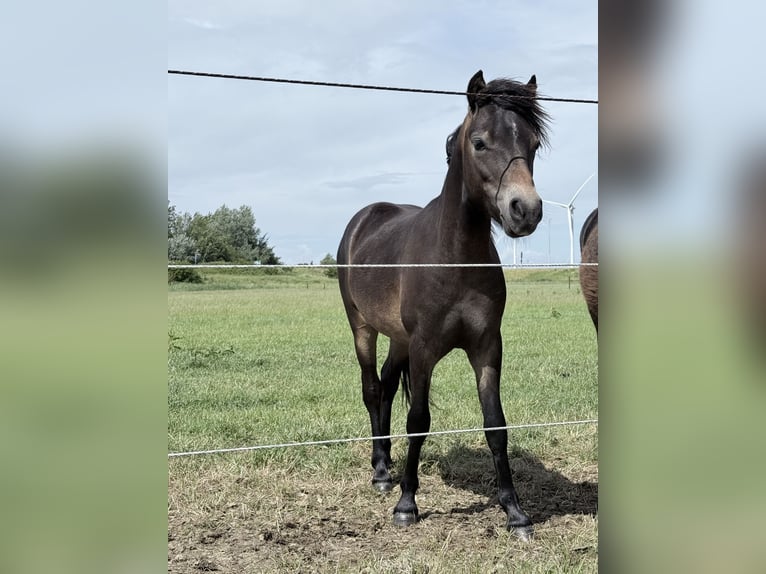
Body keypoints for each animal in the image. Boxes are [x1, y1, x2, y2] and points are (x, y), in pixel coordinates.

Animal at [336, 70, 550, 539]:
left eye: (533, 144)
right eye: (480, 143)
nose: (524, 210)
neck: (455, 257)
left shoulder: (487, 347)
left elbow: (496, 425)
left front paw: (515, 513)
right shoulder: (424, 348)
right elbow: (418, 421)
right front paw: (406, 504)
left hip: (397, 339)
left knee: (386, 386)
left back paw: (386, 464)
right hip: (363, 327)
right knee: (371, 387)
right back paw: (381, 473)